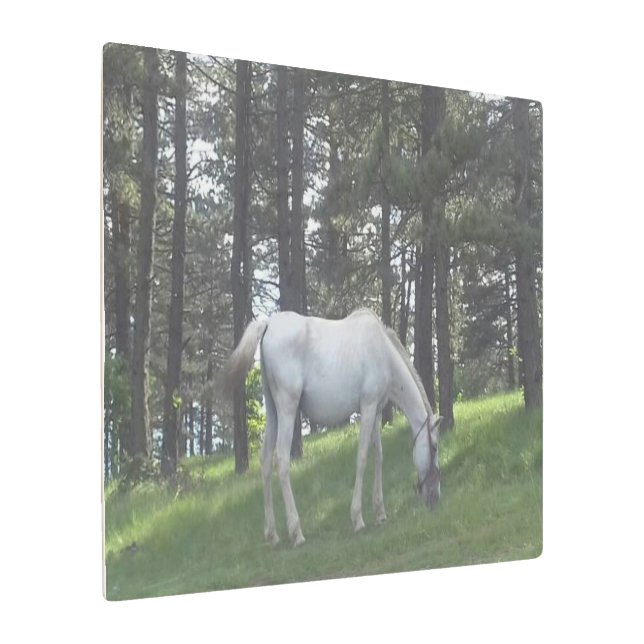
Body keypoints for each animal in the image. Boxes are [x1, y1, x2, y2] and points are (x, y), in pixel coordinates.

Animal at [223, 308, 442, 547]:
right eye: (434, 447)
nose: (435, 498)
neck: (383, 353)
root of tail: (268, 324)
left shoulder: (375, 411)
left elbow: (378, 456)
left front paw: (380, 512)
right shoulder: (367, 408)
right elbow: (362, 458)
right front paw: (358, 518)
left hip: (273, 413)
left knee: (264, 462)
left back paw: (272, 534)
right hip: (287, 410)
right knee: (281, 460)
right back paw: (296, 533)